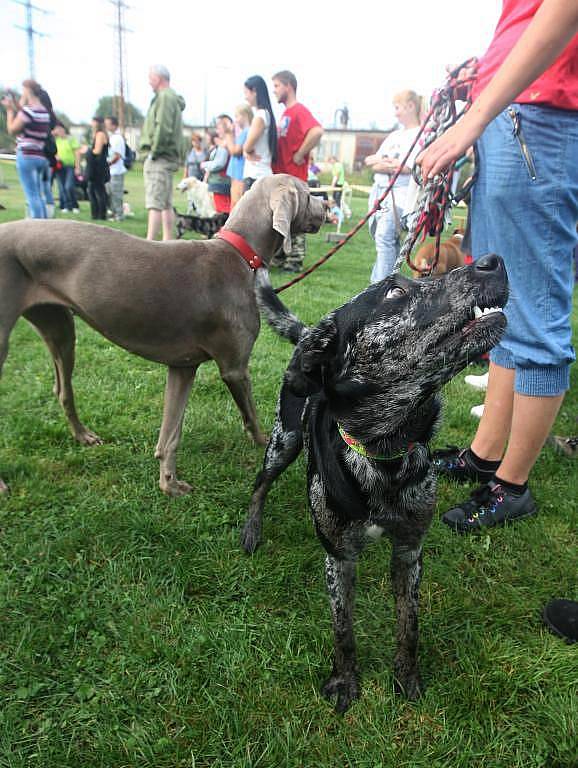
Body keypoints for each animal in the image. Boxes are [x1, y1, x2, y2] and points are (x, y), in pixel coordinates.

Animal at [0, 173, 324, 496]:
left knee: (62, 389)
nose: (326, 206)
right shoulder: (235, 369)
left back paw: (83, 436)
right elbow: (251, 416)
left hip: (59, 327)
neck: (239, 254)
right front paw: (264, 444)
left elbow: (170, 433)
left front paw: (168, 483)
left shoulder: (182, 367)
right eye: (308, 194)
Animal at [241, 255, 506, 712]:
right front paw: (345, 680)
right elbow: (343, 629)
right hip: (283, 442)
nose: (493, 261)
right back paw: (252, 528)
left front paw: (407, 678)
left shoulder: (409, 552)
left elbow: (409, 625)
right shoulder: (339, 558)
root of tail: (308, 333)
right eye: (395, 292)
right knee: (261, 484)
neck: (386, 451)